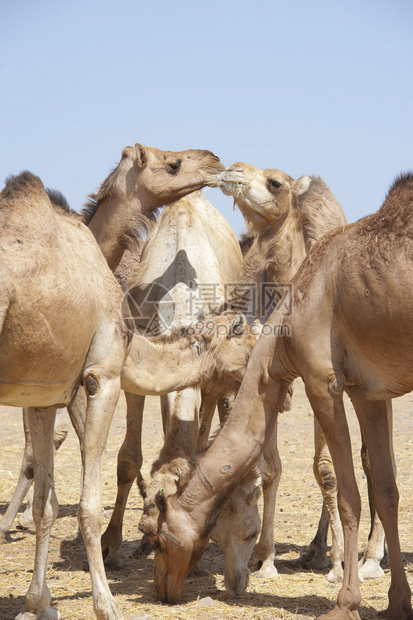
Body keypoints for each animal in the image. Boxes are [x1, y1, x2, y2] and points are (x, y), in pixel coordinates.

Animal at [147, 171, 412, 620]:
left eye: (159, 538)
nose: (163, 589)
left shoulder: (323, 380)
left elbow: (346, 492)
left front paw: (345, 601)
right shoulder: (368, 392)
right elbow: (385, 487)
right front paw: (397, 603)